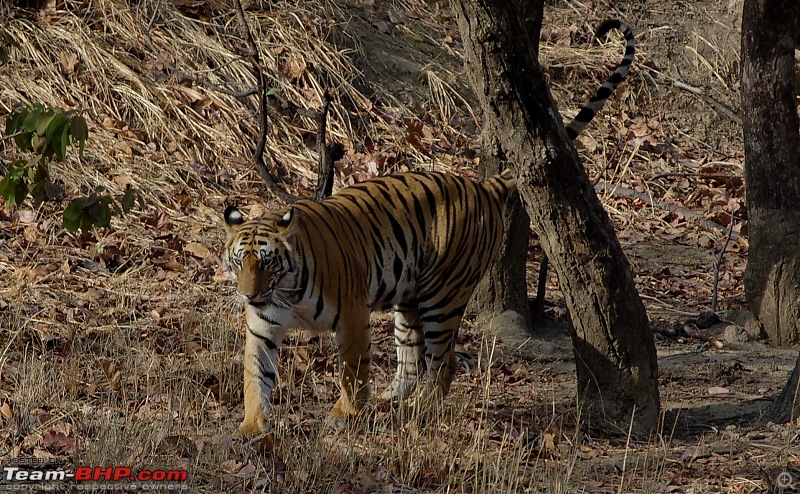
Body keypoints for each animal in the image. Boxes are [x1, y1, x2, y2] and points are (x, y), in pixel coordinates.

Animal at [222, 20, 636, 436]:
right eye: (240, 262)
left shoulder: (353, 316)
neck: (284, 291)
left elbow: (353, 370)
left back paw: (420, 408)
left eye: (268, 262)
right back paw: (390, 400)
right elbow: (255, 377)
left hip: (444, 294)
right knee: (411, 356)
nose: (248, 295)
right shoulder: (261, 329)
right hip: (407, 297)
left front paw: (344, 415)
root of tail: (481, 185)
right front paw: (251, 428)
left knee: (443, 362)